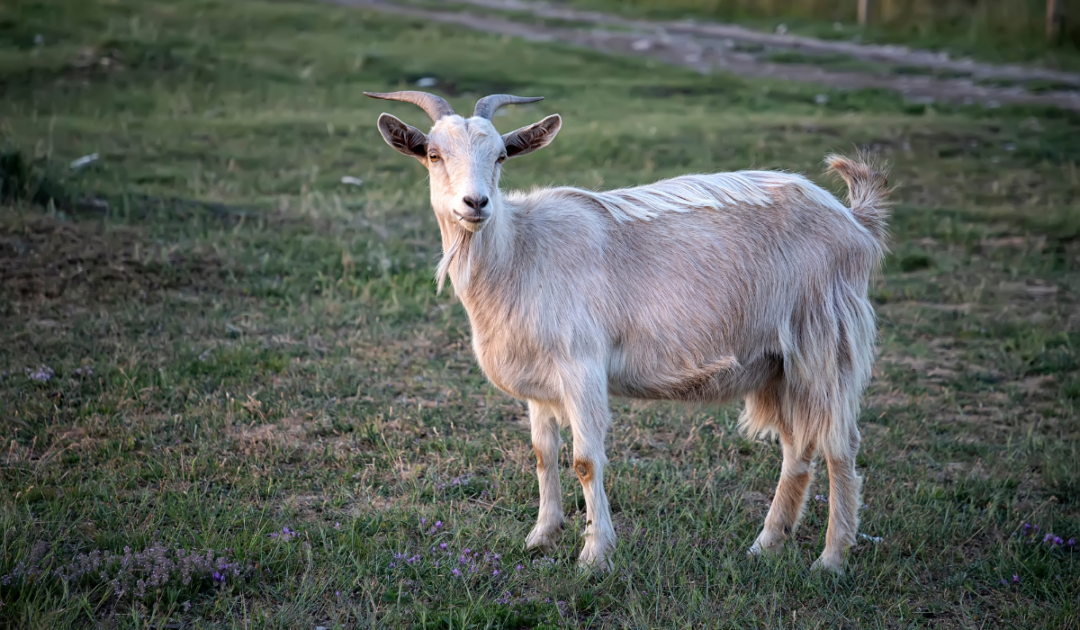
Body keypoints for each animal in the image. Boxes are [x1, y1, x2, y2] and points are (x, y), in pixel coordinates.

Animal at [365, 90, 889, 573]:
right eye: (434, 154)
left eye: (500, 155)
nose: (476, 203)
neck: (520, 251)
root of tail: (854, 221)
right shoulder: (539, 379)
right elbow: (542, 453)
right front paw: (541, 536)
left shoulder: (581, 365)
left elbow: (585, 460)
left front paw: (595, 554)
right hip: (778, 365)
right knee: (798, 447)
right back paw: (766, 544)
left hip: (826, 338)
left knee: (840, 445)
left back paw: (831, 559)